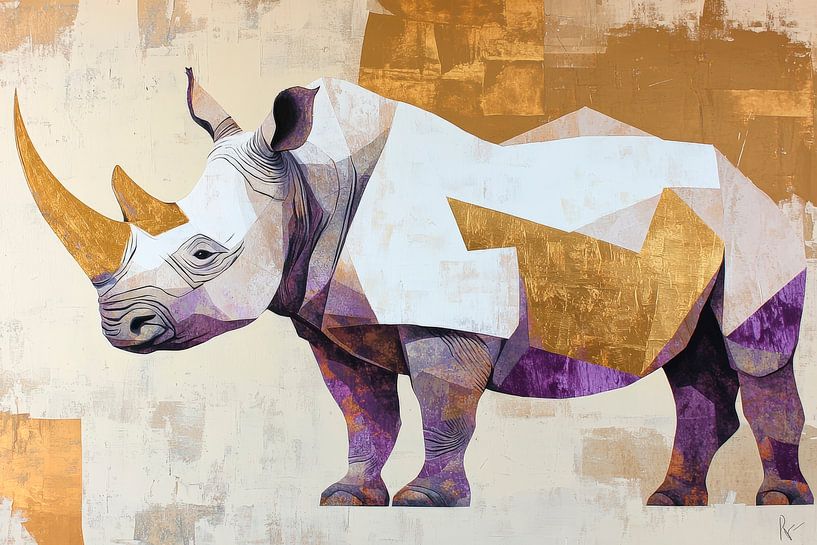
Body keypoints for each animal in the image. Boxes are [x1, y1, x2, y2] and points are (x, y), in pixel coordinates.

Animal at [14, 69, 812, 507]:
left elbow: (442, 402)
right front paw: (347, 498)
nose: (118, 327)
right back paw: (672, 501)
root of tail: (755, 181)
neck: (309, 179)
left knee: (753, 352)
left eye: (205, 252)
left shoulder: (445, 312)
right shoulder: (330, 316)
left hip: (756, 223)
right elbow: (363, 411)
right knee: (693, 363)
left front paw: (427, 500)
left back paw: (773, 499)